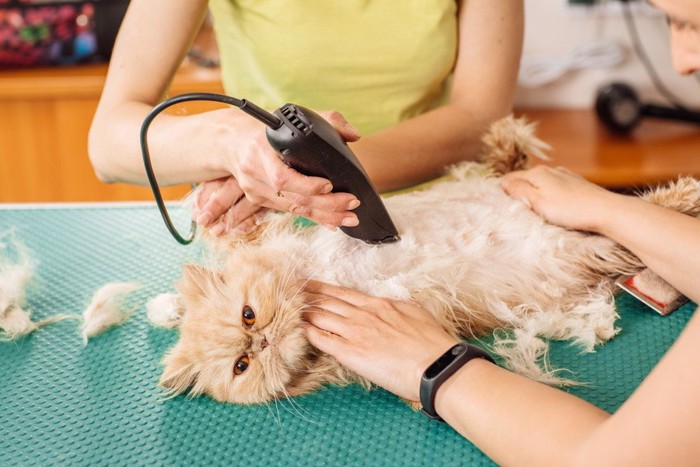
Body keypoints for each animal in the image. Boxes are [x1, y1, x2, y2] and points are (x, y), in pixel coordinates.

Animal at [153, 116, 700, 406]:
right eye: (242, 365)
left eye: (247, 315)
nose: (262, 338)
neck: (313, 283)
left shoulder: (271, 236)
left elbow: (247, 221)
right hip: (585, 250)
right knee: (631, 224)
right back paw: (685, 193)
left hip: (546, 210)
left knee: (525, 172)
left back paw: (507, 140)